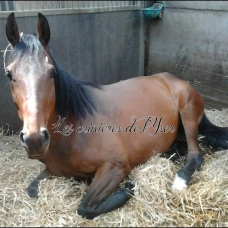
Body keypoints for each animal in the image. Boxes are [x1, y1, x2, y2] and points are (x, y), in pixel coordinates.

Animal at [4, 12, 228, 219]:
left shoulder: (115, 166)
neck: (73, 131)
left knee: (196, 155)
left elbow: (85, 207)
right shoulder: (52, 171)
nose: (34, 139)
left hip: (188, 114)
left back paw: (179, 181)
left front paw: (128, 188)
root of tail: (171, 78)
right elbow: (32, 189)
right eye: (9, 74)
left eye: (52, 73)